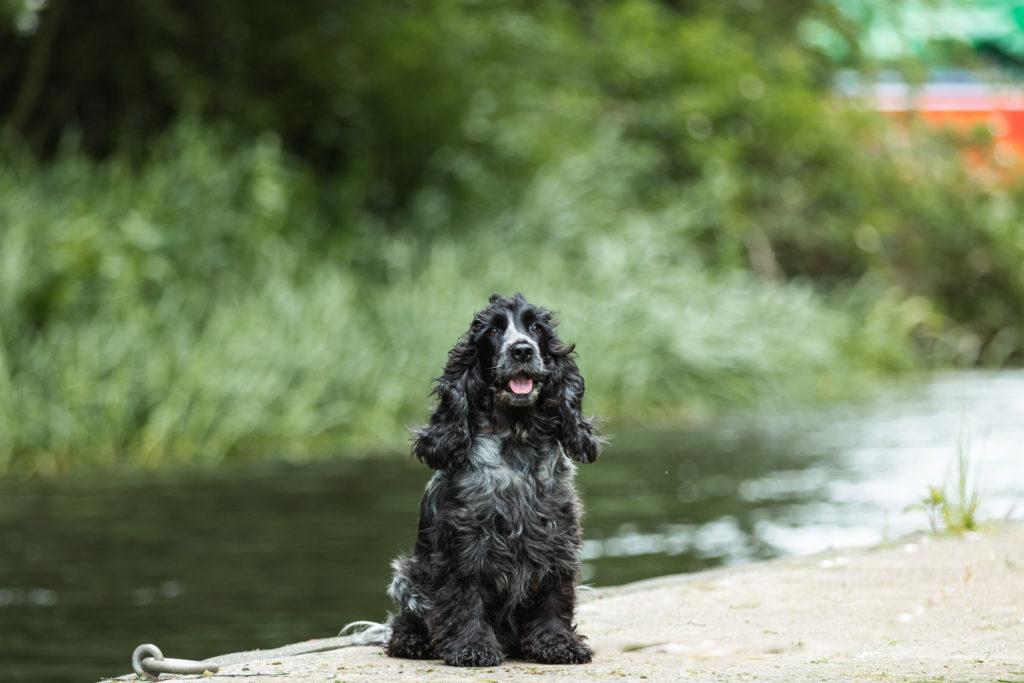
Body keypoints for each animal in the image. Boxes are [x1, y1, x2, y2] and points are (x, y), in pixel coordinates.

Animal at [385, 294, 598, 667]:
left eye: (536, 328)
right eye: (493, 331)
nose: (522, 350)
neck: (516, 435)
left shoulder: (557, 538)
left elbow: (554, 596)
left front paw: (558, 644)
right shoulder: (464, 542)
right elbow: (464, 598)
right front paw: (472, 648)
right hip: (407, 575)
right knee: (404, 622)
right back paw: (415, 642)